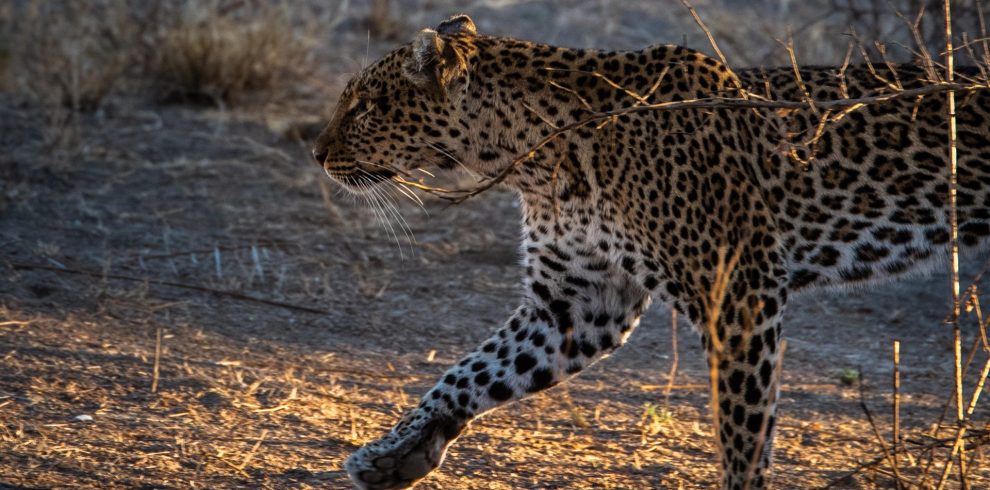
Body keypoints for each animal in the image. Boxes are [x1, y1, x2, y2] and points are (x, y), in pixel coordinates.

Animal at [311, 14, 990, 490]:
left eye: (364, 106)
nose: (316, 154)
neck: (534, 161)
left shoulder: (740, 297)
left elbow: (743, 432)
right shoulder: (578, 303)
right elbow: (470, 372)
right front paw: (396, 455)